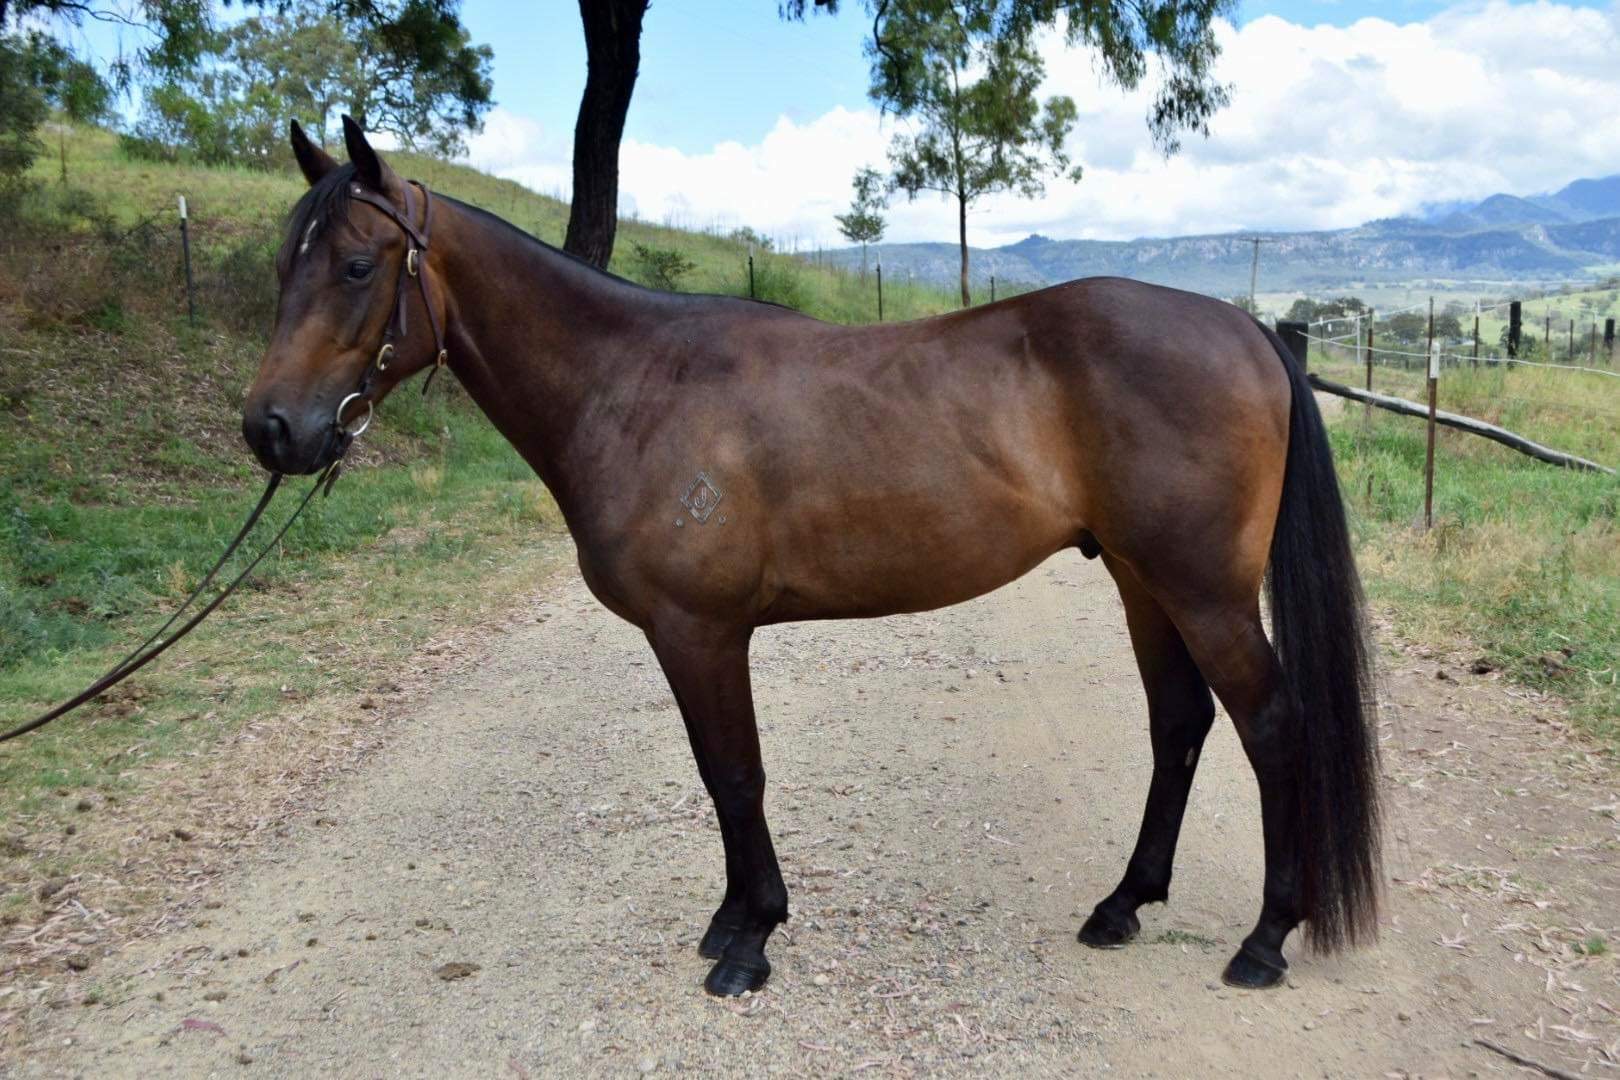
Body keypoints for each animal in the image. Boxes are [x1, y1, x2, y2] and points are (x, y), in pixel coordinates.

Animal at [242, 117, 1381, 998]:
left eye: (356, 265)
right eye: (284, 265)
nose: (272, 430)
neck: (637, 384)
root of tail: (1245, 328)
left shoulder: (700, 632)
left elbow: (733, 774)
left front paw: (748, 940)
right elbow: (722, 779)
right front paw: (734, 920)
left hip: (1205, 591)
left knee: (1272, 726)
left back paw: (1265, 941)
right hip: (1148, 583)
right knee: (1179, 724)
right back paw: (1123, 905)